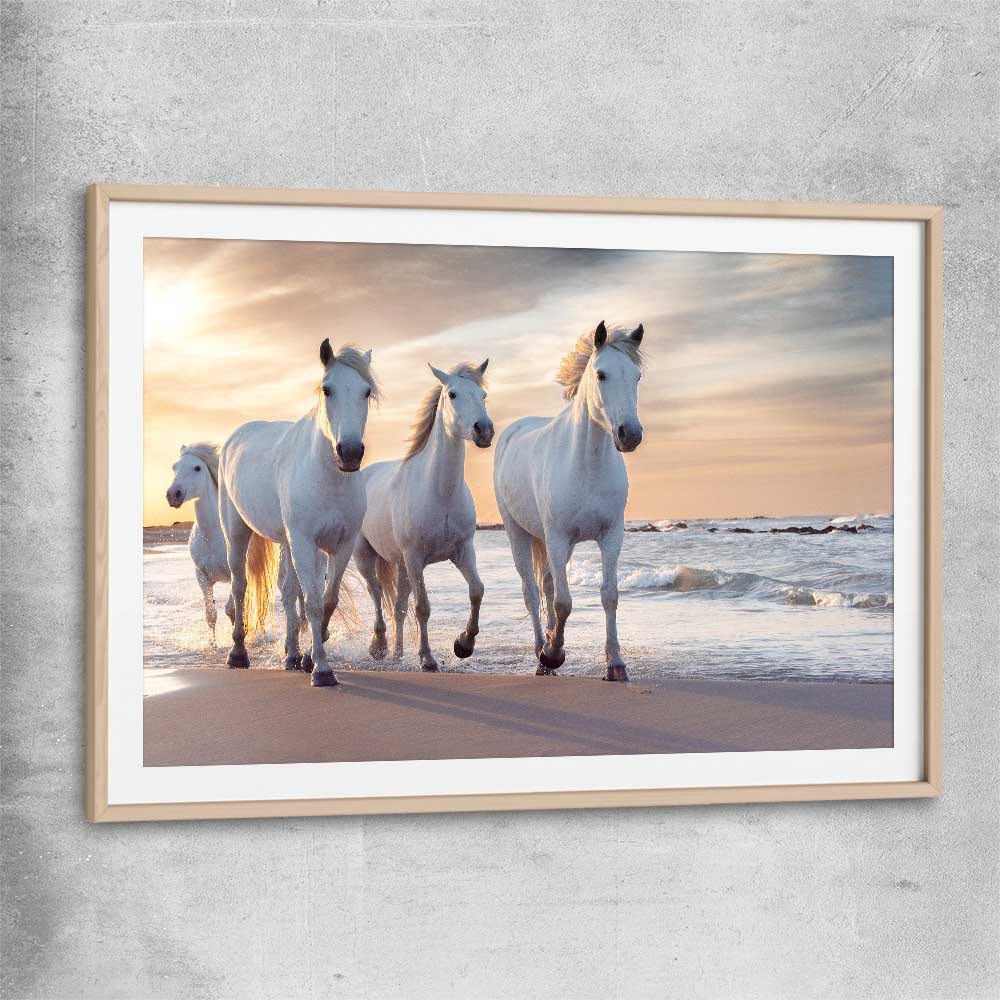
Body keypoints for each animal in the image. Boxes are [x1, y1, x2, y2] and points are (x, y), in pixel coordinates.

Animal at [218, 339, 378, 687]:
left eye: (366, 391)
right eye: (327, 390)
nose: (349, 453)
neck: (328, 478)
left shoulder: (340, 545)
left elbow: (325, 600)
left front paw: (308, 657)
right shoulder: (305, 542)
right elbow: (314, 603)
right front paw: (322, 670)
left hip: (286, 542)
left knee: (290, 593)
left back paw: (291, 655)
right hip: (237, 532)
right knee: (239, 586)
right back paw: (237, 653)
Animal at [353, 359, 493, 672]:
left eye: (483, 395)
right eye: (452, 394)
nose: (484, 430)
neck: (439, 492)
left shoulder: (463, 551)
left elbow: (477, 590)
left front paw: (463, 644)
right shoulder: (415, 557)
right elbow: (423, 608)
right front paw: (427, 659)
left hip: (402, 566)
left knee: (398, 606)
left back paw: (397, 653)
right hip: (366, 556)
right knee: (376, 593)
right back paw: (379, 646)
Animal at [493, 321, 645, 681]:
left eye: (637, 376)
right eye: (601, 374)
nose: (630, 434)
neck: (586, 464)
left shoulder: (610, 536)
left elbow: (609, 595)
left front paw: (615, 664)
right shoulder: (558, 538)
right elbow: (563, 602)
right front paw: (552, 654)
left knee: (547, 586)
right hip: (519, 534)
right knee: (532, 593)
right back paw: (541, 653)